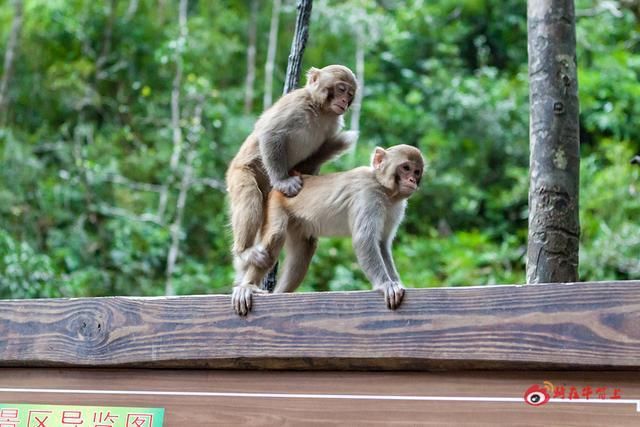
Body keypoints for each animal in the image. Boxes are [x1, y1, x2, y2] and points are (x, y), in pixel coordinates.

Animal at [225, 64, 358, 288]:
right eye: (341, 89)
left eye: (349, 94)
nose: (343, 101)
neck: (320, 110)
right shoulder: (295, 104)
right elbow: (271, 134)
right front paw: (283, 181)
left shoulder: (333, 122)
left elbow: (316, 156)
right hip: (240, 173)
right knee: (250, 193)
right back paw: (244, 252)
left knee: (305, 242)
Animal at [232, 145, 428, 316]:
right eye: (406, 168)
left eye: (416, 172)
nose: (412, 180)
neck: (385, 190)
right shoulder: (368, 195)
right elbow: (364, 240)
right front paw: (385, 285)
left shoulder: (396, 207)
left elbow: (382, 245)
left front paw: (396, 283)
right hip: (276, 202)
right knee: (276, 235)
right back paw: (248, 286)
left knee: (304, 250)